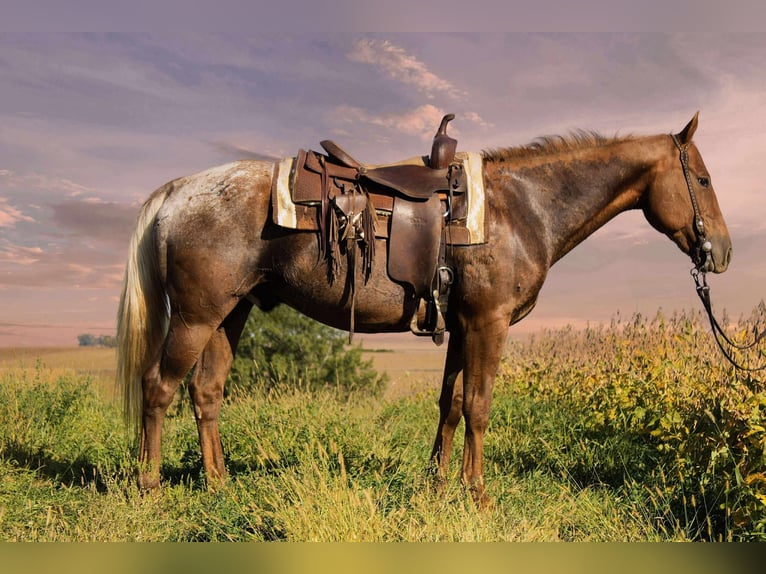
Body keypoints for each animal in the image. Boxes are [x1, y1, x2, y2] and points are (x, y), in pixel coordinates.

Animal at [116, 112, 732, 504]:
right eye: (701, 178)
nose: (721, 252)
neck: (523, 208)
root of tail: (178, 191)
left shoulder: (461, 326)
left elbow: (450, 404)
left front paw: (438, 485)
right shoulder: (487, 324)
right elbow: (479, 406)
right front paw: (477, 494)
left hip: (230, 314)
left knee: (206, 392)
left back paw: (219, 483)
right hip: (196, 317)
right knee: (159, 387)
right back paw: (149, 486)